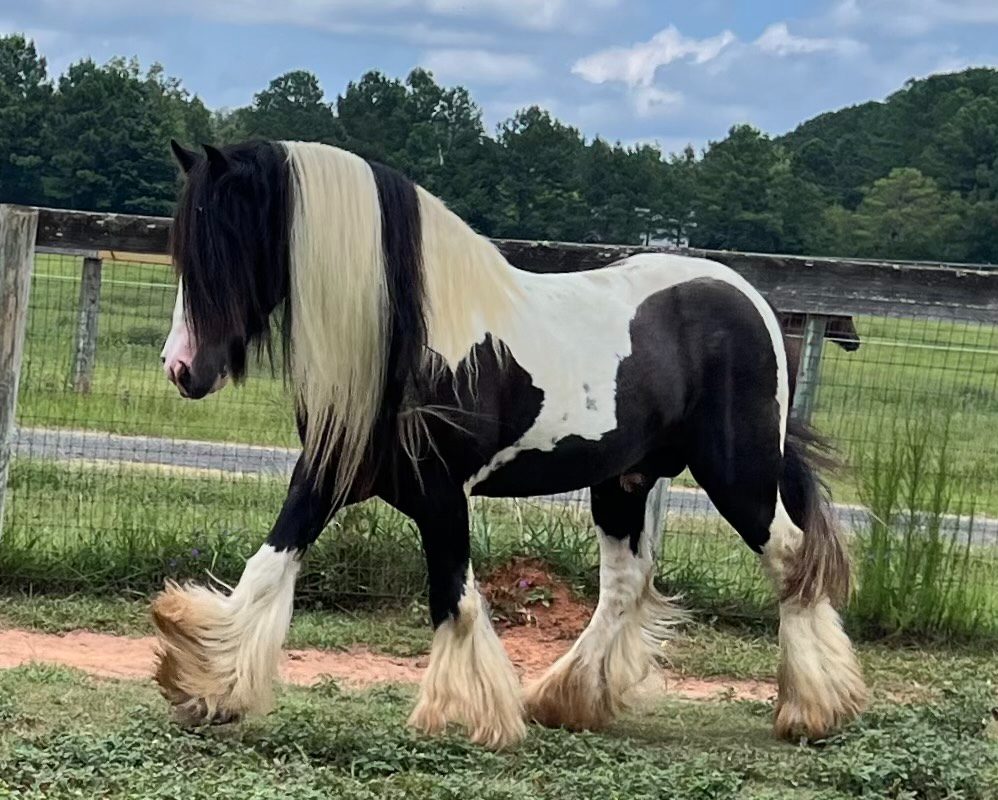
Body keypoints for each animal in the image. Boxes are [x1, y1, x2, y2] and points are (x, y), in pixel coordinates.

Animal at [154, 139, 868, 752]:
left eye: (226, 248)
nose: (181, 369)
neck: (413, 339)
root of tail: (752, 299)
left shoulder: (442, 493)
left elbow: (455, 598)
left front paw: (463, 715)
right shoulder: (329, 473)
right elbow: (269, 565)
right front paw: (207, 684)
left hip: (738, 476)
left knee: (792, 559)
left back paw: (814, 708)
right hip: (624, 482)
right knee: (627, 582)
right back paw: (569, 698)